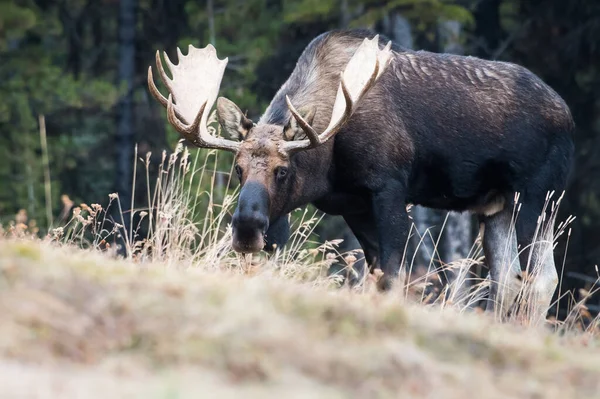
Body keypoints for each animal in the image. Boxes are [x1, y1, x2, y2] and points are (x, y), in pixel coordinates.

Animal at [148, 28, 576, 322]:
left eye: (283, 170)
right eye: (237, 170)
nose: (248, 227)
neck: (329, 159)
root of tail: (570, 117)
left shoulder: (389, 188)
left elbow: (394, 274)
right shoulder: (352, 205)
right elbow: (376, 274)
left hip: (537, 197)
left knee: (541, 279)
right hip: (496, 205)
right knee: (506, 281)